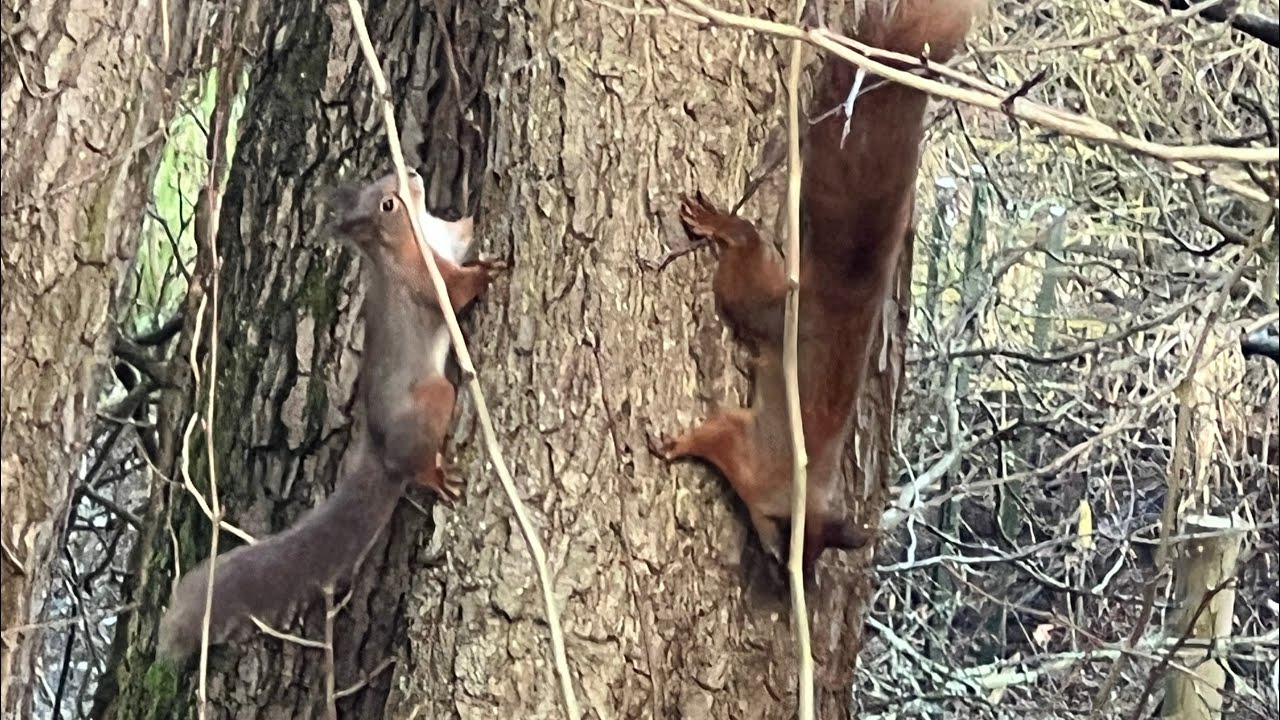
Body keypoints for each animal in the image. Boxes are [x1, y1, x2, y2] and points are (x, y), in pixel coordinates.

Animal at [155, 169, 498, 662]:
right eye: (387, 205)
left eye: (386, 179)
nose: (413, 174)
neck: (417, 235)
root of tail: (380, 453)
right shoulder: (422, 278)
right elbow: (455, 293)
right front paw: (487, 272)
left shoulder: (448, 241)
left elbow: (464, 232)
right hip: (434, 399)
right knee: (419, 458)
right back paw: (435, 475)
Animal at [650, 0, 983, 573]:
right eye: (789, 551)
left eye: (809, 558)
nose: (784, 578)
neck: (797, 491)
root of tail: (838, 298)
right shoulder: (744, 449)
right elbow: (713, 435)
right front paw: (676, 444)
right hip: (758, 304)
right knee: (745, 252)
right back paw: (722, 225)